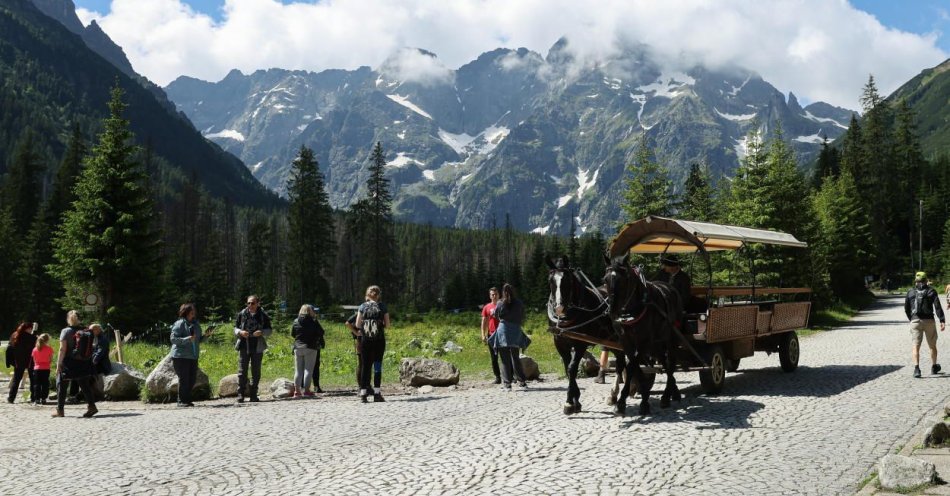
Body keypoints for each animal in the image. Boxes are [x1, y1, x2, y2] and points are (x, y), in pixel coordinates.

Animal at [548, 256, 628, 414]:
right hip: (610, 340)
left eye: (567, 281)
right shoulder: (560, 344)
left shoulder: (580, 344)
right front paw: (575, 401)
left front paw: (569, 402)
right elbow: (567, 369)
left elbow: (572, 368)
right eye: (550, 280)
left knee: (622, 363)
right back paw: (613, 396)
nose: (559, 308)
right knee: (621, 361)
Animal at [608, 256, 688, 414]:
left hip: (671, 338)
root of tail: (670, 288)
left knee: (671, 362)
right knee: (664, 362)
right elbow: (635, 367)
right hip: (657, 342)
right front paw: (631, 399)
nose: (612, 311)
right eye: (605, 279)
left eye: (624, 279)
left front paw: (638, 402)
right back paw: (673, 391)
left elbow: (632, 367)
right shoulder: (626, 342)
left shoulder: (644, 342)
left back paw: (666, 396)